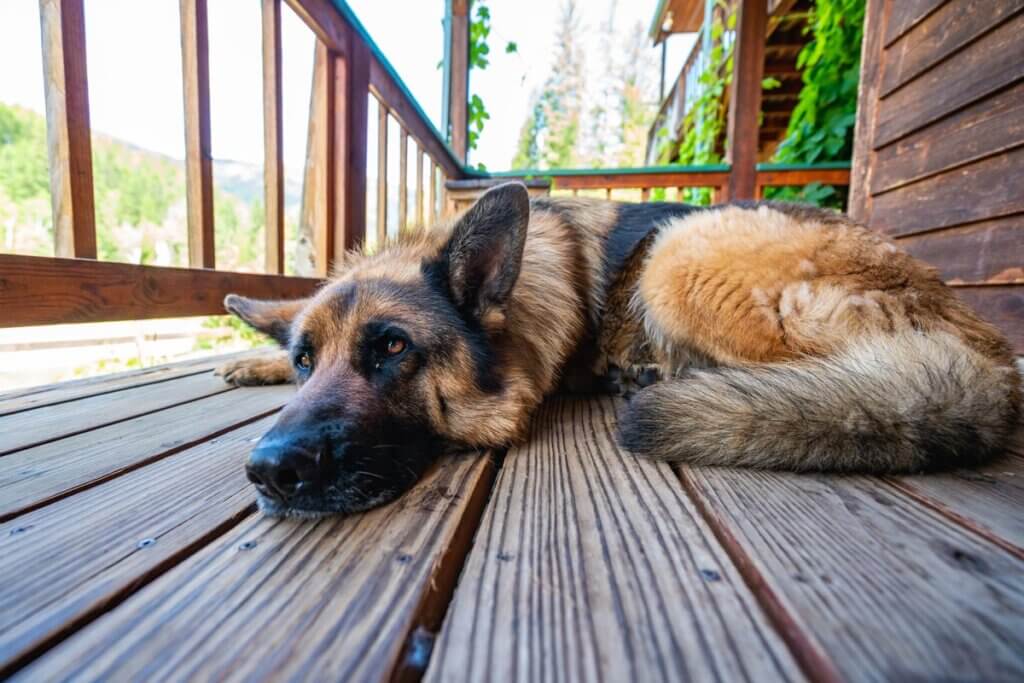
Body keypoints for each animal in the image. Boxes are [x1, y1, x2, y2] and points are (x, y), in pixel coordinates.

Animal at [216, 181, 1015, 518]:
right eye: (305, 361)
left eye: (391, 346)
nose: (269, 470)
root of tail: (986, 349)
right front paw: (254, 354)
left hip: (679, 251)